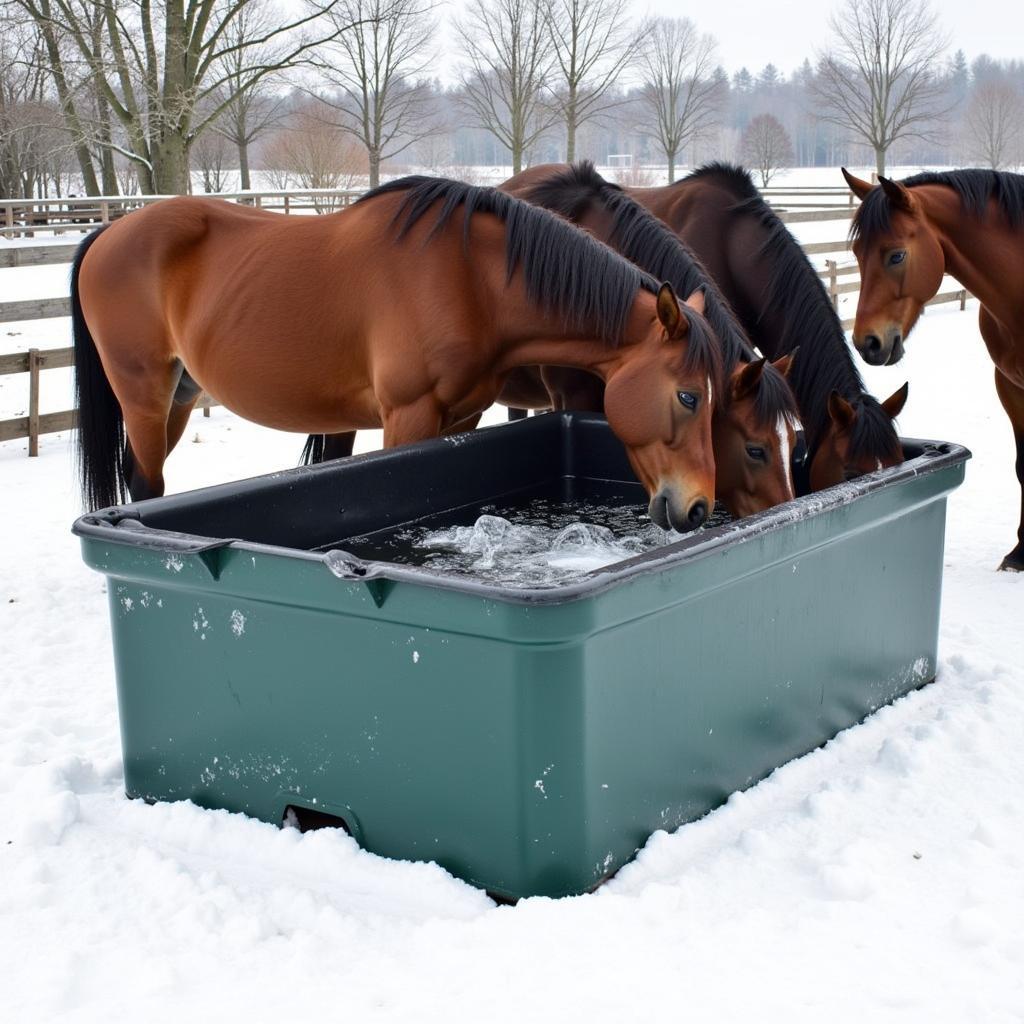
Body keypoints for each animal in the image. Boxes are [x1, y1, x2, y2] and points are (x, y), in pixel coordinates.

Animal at [72, 175, 724, 532]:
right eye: (688, 396)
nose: (698, 508)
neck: (469, 278)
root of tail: (109, 232)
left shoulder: (460, 417)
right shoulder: (407, 416)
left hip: (181, 397)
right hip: (145, 396)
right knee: (145, 483)